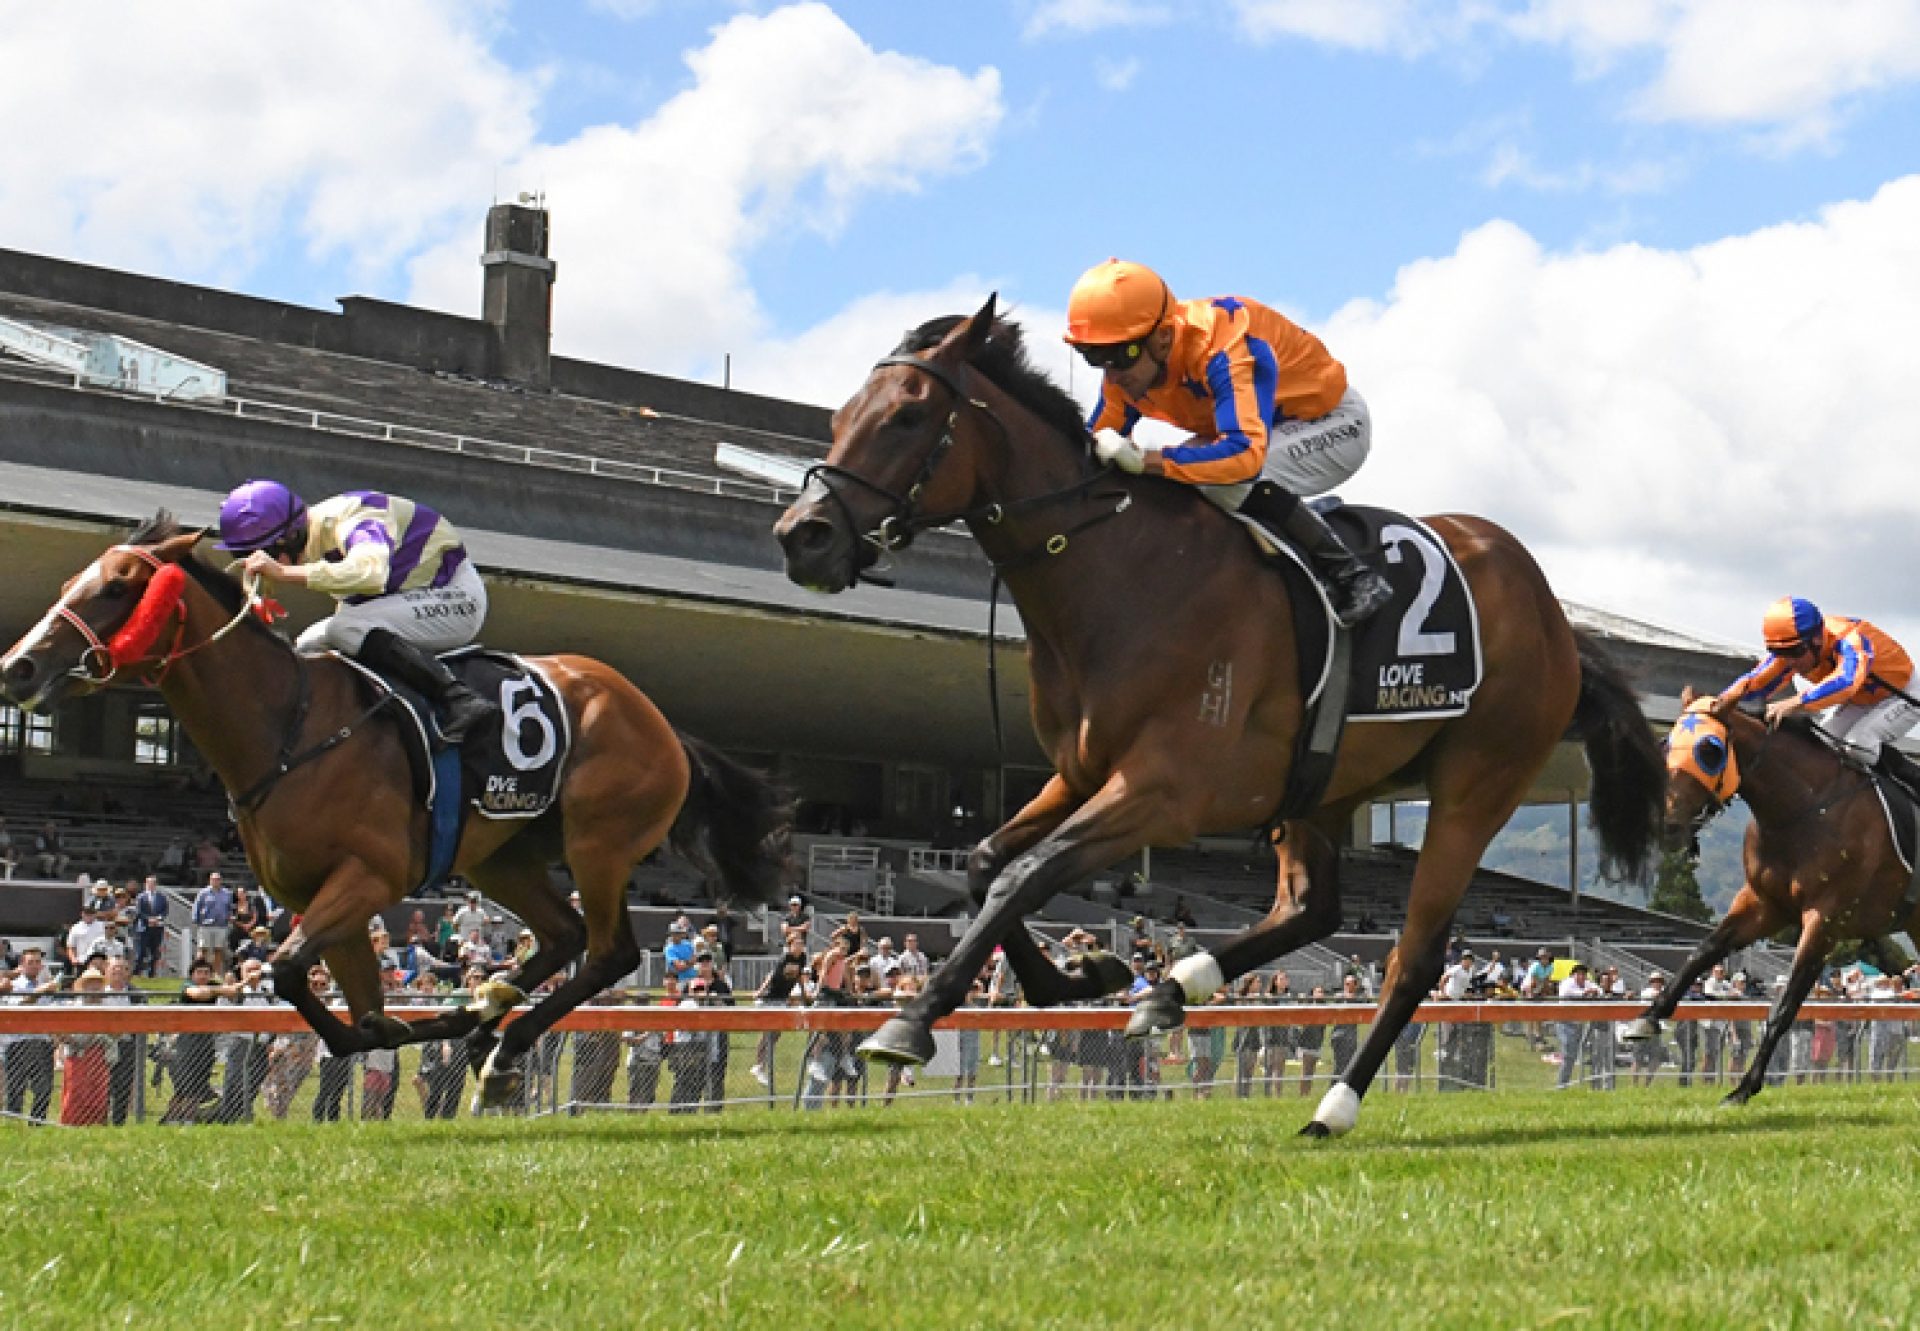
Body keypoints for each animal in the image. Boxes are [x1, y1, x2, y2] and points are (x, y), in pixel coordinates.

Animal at [0, 514, 794, 1106]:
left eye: (118, 587)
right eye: (73, 582)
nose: (18, 666)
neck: (289, 726)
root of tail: (661, 723)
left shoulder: (372, 876)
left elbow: (292, 972)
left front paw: (408, 1029)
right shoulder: (321, 895)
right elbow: (339, 997)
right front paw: (408, 1025)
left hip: (598, 845)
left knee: (610, 952)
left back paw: (499, 1040)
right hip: (502, 857)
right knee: (563, 936)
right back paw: (483, 1017)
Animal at [768, 295, 1666, 1137]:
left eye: (908, 415)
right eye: (843, 416)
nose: (801, 536)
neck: (1121, 573)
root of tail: (1555, 618)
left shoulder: (1165, 789)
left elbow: (1031, 873)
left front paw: (912, 1021)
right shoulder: (1081, 772)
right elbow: (988, 863)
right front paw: (1086, 975)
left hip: (1477, 784)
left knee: (1413, 958)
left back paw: (1332, 1103)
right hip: (1324, 786)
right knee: (1313, 908)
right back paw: (1173, 986)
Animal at [1620, 683, 1920, 1098]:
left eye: (1710, 750)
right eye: (1665, 744)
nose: (1667, 824)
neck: (1806, 806)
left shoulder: (1825, 920)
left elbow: (1784, 1006)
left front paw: (1745, 1087)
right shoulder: (1763, 904)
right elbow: (1701, 953)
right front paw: (1645, 1020)